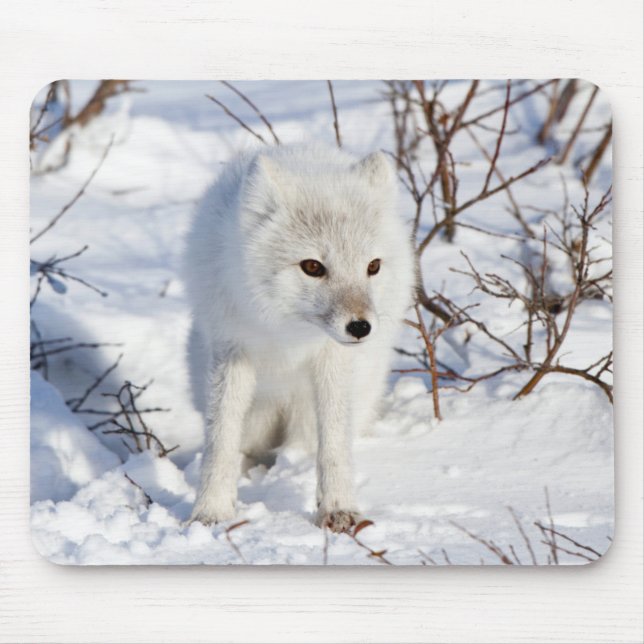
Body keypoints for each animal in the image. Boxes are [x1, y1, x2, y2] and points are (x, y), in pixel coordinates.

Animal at [183, 142, 414, 533]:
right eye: (312, 267)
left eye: (373, 266)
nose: (360, 328)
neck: (287, 332)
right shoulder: (232, 349)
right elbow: (220, 441)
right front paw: (210, 512)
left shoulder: (332, 360)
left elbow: (334, 445)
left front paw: (338, 509)